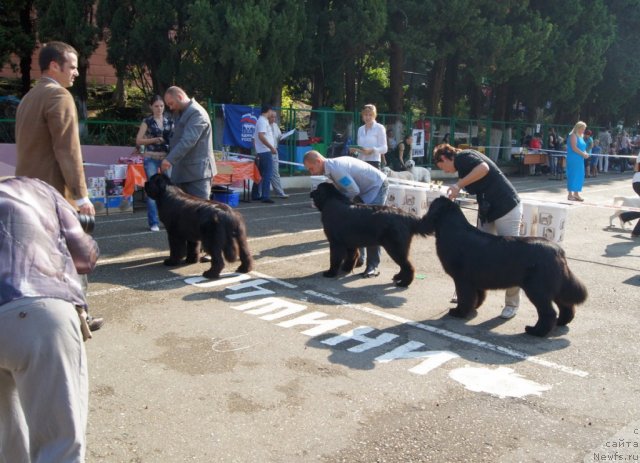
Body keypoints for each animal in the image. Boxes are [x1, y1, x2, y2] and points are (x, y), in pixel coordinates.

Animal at [422, 196, 588, 338]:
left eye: (431, 205)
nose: (422, 219)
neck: (453, 230)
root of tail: (558, 250)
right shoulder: (474, 280)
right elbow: (477, 296)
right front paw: (473, 308)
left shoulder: (462, 280)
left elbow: (464, 298)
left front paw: (458, 312)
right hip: (554, 287)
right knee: (566, 305)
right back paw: (561, 322)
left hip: (538, 289)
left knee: (548, 313)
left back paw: (535, 331)